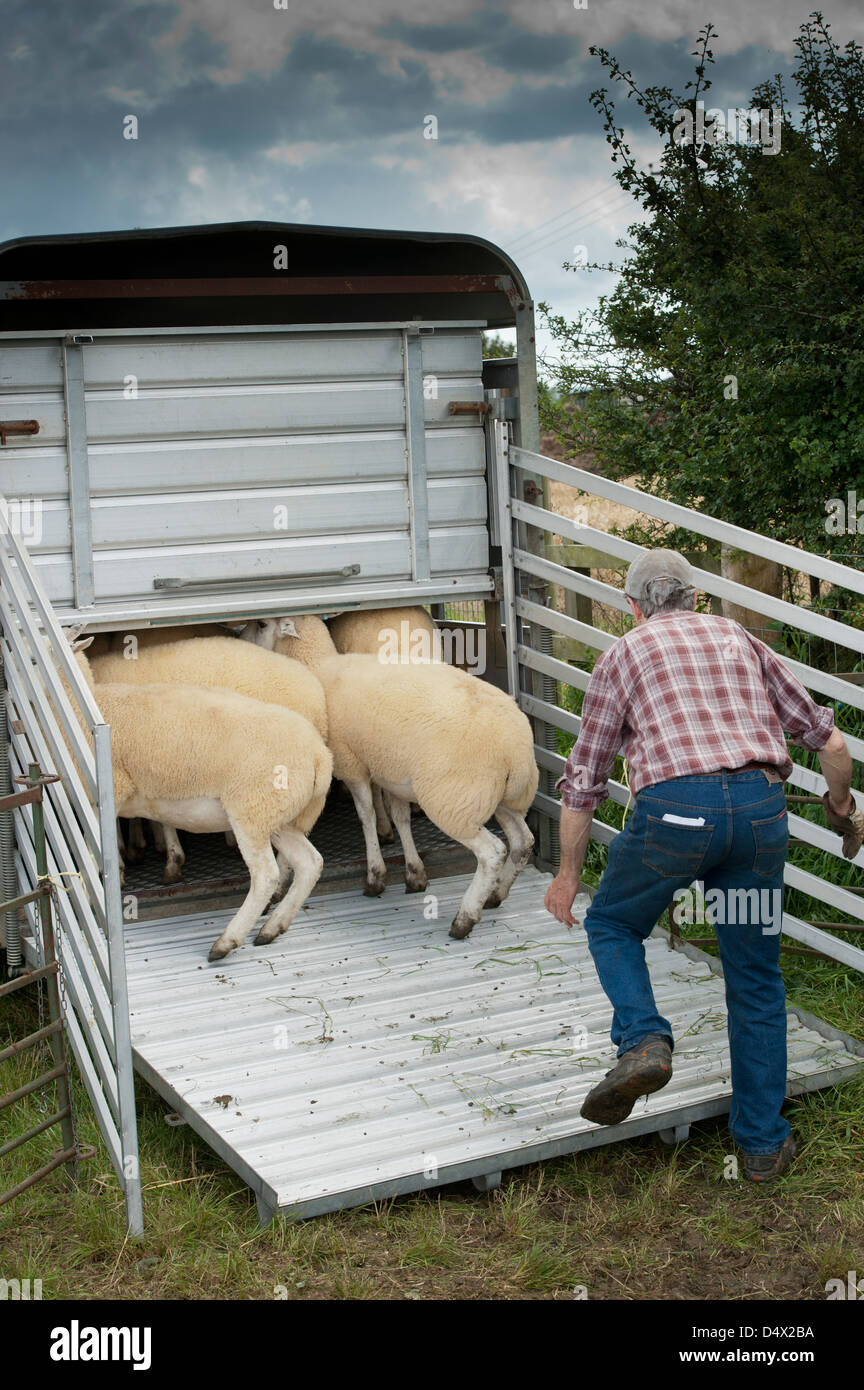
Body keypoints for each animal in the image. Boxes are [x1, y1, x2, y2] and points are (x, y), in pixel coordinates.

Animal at [237, 619, 536, 945]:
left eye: (262, 624)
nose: (239, 636)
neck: (319, 665)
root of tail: (517, 748)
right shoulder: (393, 774)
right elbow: (401, 818)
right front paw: (414, 874)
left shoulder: (352, 764)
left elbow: (365, 815)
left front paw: (375, 877)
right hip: (499, 798)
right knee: (523, 841)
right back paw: (496, 894)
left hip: (455, 802)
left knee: (493, 852)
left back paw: (464, 919)